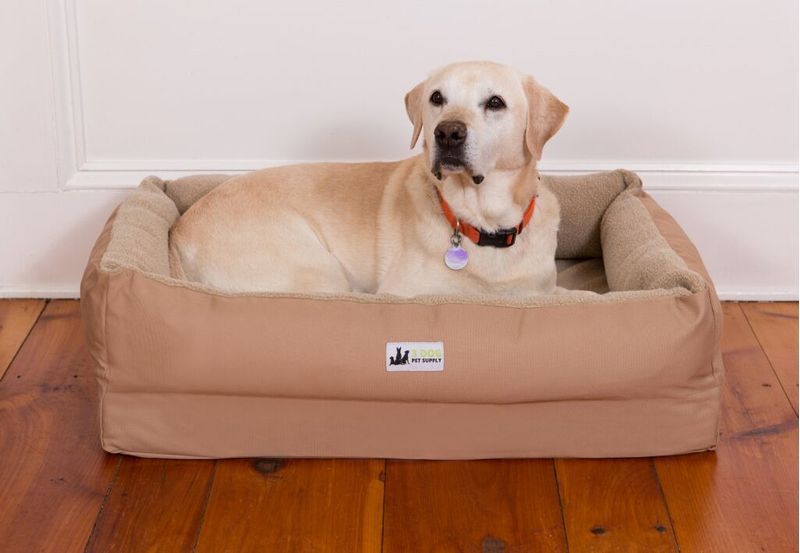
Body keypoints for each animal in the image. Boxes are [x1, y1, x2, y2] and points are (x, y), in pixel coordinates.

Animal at [170, 61, 568, 298]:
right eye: (437, 98)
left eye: (495, 102)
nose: (447, 133)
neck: (481, 223)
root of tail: (179, 230)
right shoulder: (401, 294)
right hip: (319, 275)